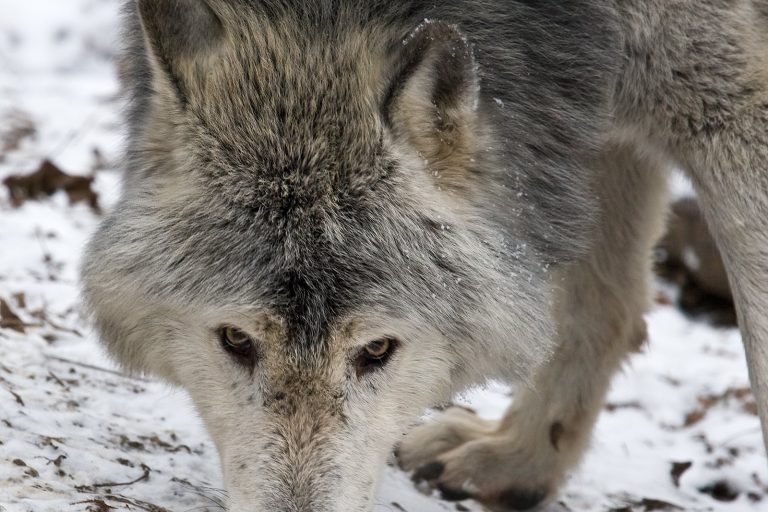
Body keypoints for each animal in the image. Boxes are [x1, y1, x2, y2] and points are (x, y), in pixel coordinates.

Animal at [81, 0, 768, 510]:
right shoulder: (573, 109)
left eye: (378, 350)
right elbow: (594, 307)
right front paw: (523, 461)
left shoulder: (729, 101)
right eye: (236, 341)